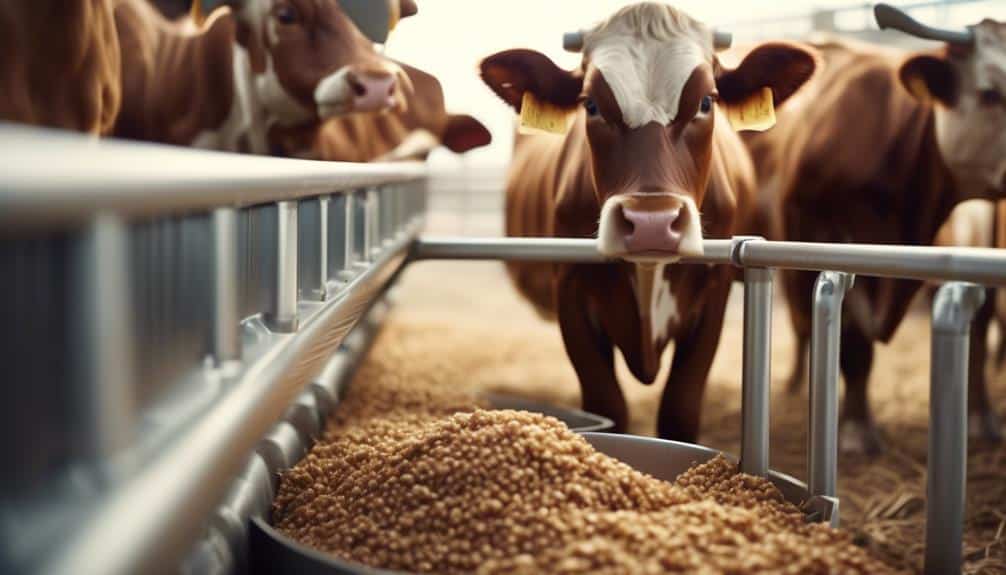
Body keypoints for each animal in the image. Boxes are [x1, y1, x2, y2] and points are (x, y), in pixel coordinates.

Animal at [478, 2, 817, 439]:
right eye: (591, 105)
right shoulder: (570, 290)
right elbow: (608, 407)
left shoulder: (714, 297)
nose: (651, 222)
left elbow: (680, 411)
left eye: (706, 102)